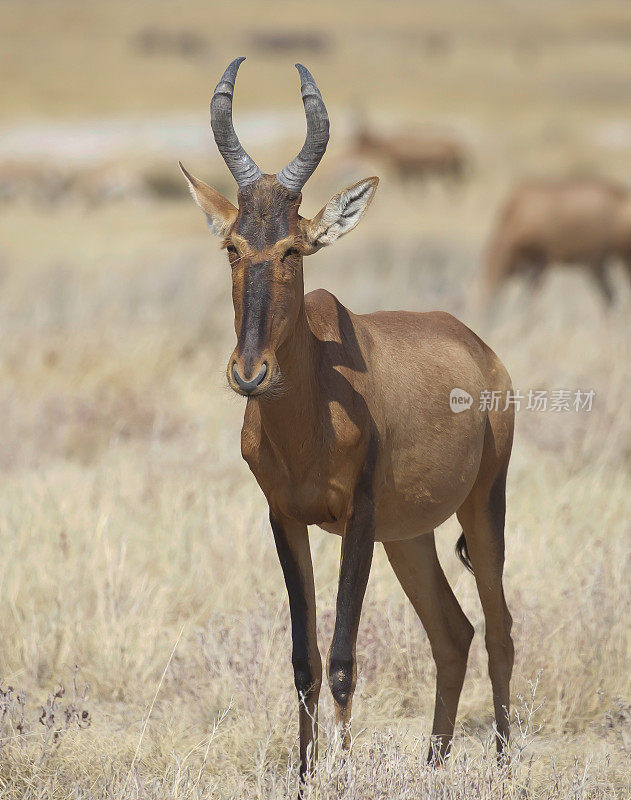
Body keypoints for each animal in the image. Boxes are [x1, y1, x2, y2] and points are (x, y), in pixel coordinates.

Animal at [180, 56, 516, 788]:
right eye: (232, 245)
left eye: (293, 248)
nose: (249, 373)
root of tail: (481, 350)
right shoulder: (284, 518)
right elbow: (303, 659)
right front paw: (307, 777)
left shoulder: (357, 518)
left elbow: (340, 658)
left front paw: (340, 772)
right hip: (409, 535)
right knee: (453, 634)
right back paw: (433, 766)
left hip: (482, 502)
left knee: (500, 627)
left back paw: (507, 765)